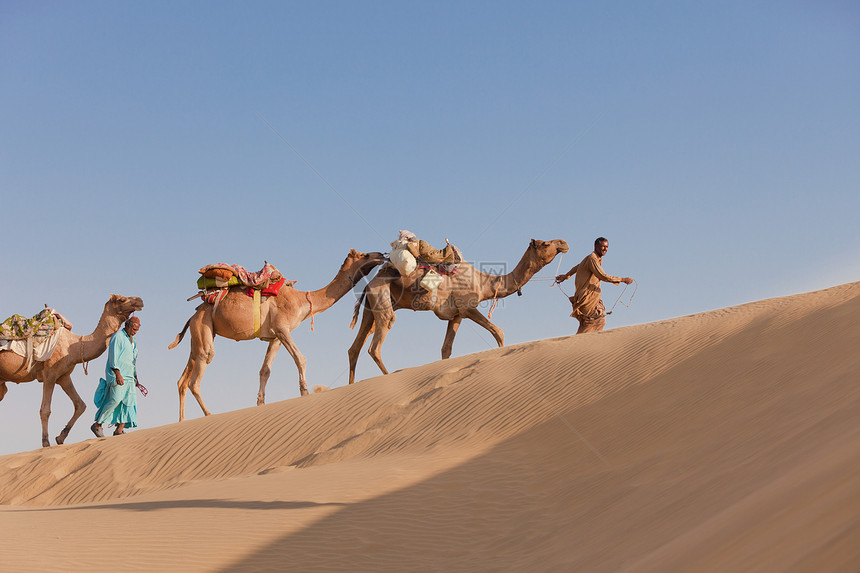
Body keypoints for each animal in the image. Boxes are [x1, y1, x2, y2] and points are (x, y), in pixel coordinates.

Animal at [0, 294, 144, 446]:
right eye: (122, 299)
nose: (140, 300)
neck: (74, 346)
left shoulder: (64, 377)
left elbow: (80, 405)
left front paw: (60, 437)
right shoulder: (50, 375)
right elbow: (45, 410)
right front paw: (46, 443)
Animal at [168, 248, 382, 418]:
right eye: (364, 255)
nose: (381, 255)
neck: (303, 301)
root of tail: (193, 315)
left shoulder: (276, 337)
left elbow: (265, 370)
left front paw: (260, 404)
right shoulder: (282, 328)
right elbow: (301, 359)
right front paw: (304, 393)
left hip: (199, 334)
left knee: (183, 379)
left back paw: (182, 421)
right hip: (203, 326)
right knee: (197, 375)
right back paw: (208, 414)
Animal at [346, 239, 568, 382]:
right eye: (546, 243)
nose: (563, 242)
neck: (485, 283)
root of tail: (369, 284)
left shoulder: (456, 316)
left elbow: (446, 349)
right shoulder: (468, 307)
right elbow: (499, 331)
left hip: (371, 308)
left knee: (355, 348)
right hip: (382, 300)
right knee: (375, 345)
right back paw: (389, 377)